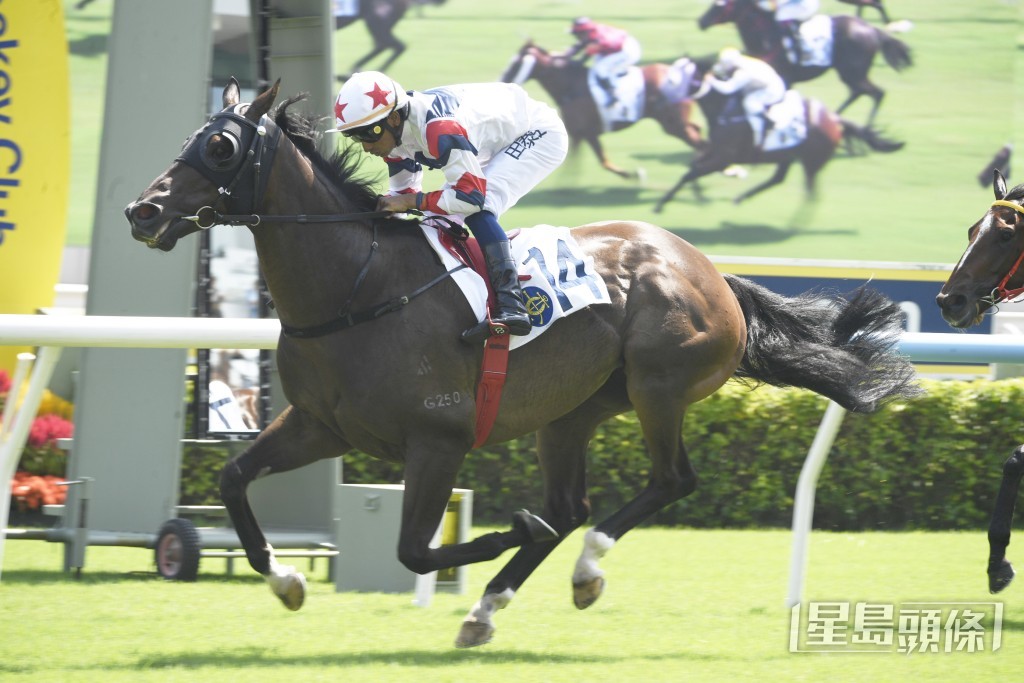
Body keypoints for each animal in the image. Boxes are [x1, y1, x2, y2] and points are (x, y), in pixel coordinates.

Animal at [500, 40, 705, 180]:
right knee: (698, 132)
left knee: (699, 142)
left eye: (516, 63)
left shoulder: (587, 131)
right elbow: (582, 162)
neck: (570, 86)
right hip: (679, 121)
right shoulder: (581, 133)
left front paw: (632, 174)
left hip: (673, 124)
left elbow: (601, 161)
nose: (503, 79)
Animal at [653, 66, 904, 212]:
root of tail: (835, 119)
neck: (725, 110)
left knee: (810, 194)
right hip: (789, 156)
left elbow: (691, 172)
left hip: (811, 161)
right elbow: (692, 167)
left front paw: (661, 205)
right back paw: (740, 199)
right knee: (778, 179)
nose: (659, 96)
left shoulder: (723, 158)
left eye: (675, 79)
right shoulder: (715, 152)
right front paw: (690, 196)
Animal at [698, 0, 912, 126]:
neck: (766, 36)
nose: (701, 22)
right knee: (858, 92)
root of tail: (872, 30)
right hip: (850, 73)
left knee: (876, 93)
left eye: (719, 5)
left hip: (853, 72)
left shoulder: (783, 78)